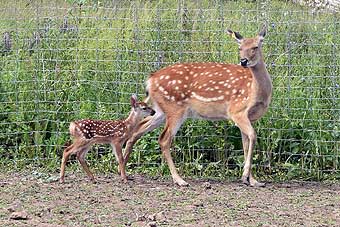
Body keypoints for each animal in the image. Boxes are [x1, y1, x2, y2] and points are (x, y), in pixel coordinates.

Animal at [122, 26, 270, 186]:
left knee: (139, 128)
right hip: (175, 108)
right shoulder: (237, 110)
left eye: (255, 47)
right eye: (240, 48)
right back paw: (179, 179)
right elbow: (253, 136)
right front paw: (245, 176)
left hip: (161, 110)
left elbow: (246, 143)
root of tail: (150, 80)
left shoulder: (249, 117)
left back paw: (123, 169)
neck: (255, 91)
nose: (243, 61)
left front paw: (253, 180)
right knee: (164, 139)